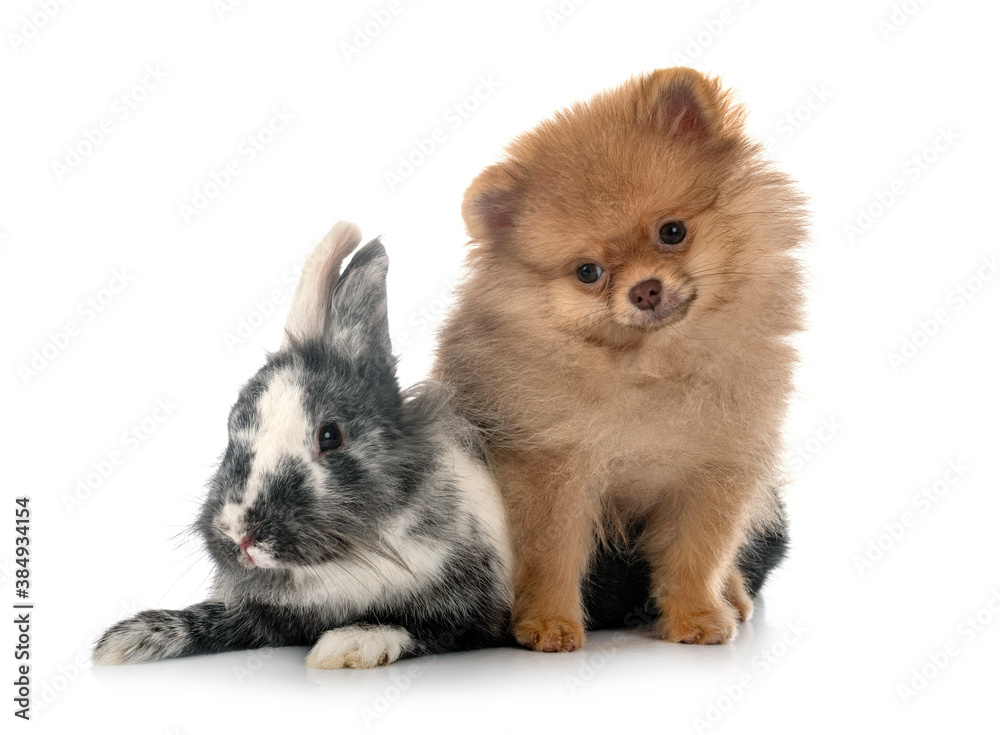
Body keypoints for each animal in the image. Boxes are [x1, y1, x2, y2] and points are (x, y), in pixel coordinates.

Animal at [93, 222, 515, 668]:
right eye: (232, 426)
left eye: (330, 435)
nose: (241, 537)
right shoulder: (262, 615)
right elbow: (216, 618)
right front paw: (128, 639)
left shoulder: (476, 613)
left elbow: (419, 629)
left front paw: (346, 646)